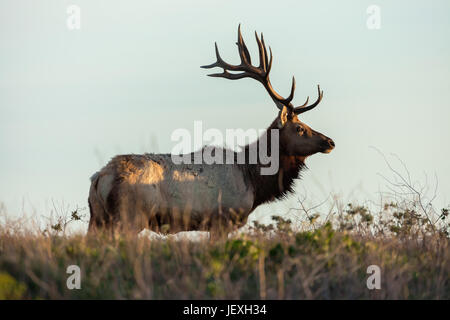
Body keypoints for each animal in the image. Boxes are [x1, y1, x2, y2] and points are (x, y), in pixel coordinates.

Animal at [88, 26, 334, 239]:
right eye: (300, 128)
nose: (330, 142)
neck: (254, 179)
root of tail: (100, 177)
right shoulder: (222, 220)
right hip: (129, 218)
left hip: (98, 218)